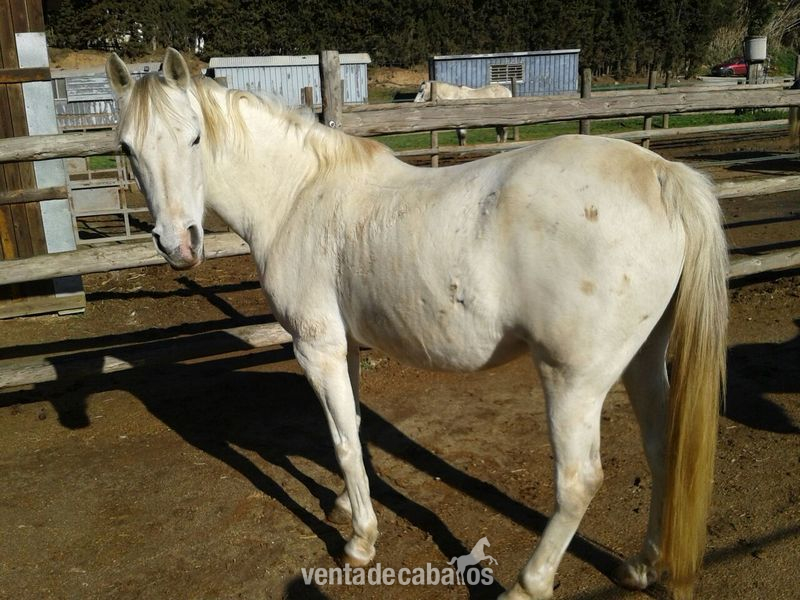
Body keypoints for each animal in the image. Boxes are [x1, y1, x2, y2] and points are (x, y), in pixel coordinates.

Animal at [106, 49, 728, 600]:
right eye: (126, 147)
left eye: (194, 138)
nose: (179, 245)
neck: (298, 195)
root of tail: (663, 174)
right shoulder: (345, 346)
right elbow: (353, 424)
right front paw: (346, 503)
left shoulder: (316, 348)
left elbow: (342, 440)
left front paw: (360, 540)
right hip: (643, 360)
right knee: (661, 448)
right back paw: (642, 566)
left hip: (573, 379)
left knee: (578, 482)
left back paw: (528, 585)